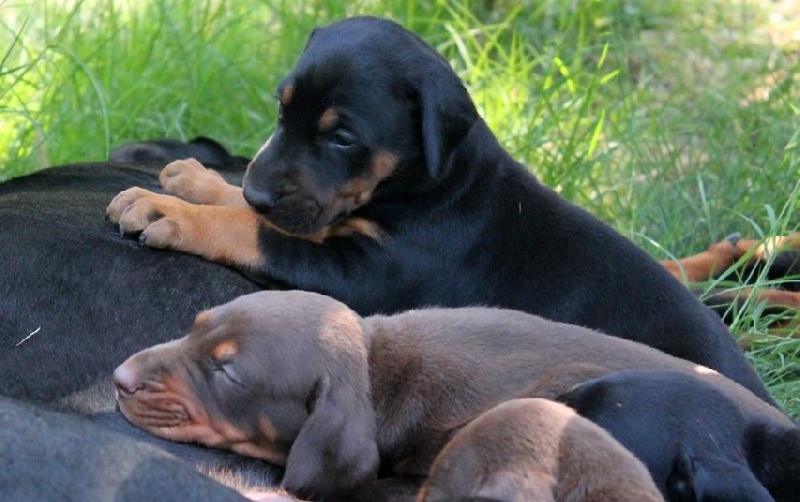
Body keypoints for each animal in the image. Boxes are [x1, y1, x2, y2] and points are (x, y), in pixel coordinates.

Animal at [103, 15, 772, 404]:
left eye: (342, 137)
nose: (261, 191)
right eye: (281, 109)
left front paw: (167, 209)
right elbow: (266, 212)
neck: (435, 182)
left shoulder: (370, 271)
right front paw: (195, 177)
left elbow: (259, 231)